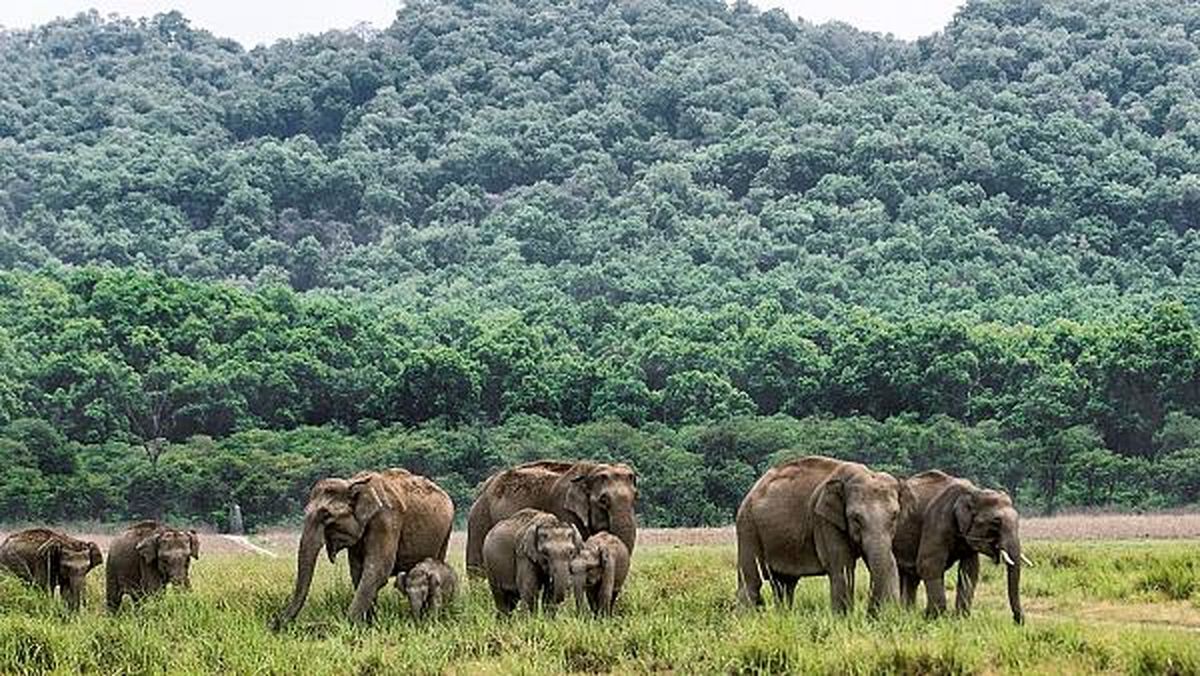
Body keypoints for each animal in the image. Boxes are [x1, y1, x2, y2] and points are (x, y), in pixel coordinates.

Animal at [273, 468, 453, 629]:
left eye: (326, 515)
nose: (275, 623)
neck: (352, 483)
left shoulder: (386, 520)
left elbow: (377, 570)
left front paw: (348, 624)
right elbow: (358, 572)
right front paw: (369, 623)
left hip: (445, 533)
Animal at [465, 461, 638, 576]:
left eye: (636, 497)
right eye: (603, 500)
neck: (589, 470)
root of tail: (485, 485)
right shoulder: (564, 510)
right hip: (480, 516)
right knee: (476, 567)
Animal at [734, 453, 912, 614]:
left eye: (895, 515)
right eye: (856, 518)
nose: (871, 612)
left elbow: (885, 563)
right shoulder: (823, 520)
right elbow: (842, 569)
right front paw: (843, 621)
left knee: (784, 584)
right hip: (747, 527)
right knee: (752, 581)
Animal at [892, 470, 1032, 624]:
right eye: (996, 523)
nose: (1018, 621)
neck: (974, 492)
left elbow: (970, 570)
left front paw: (960, 619)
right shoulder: (938, 520)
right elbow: (929, 564)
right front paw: (934, 619)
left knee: (910, 577)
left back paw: (907, 613)